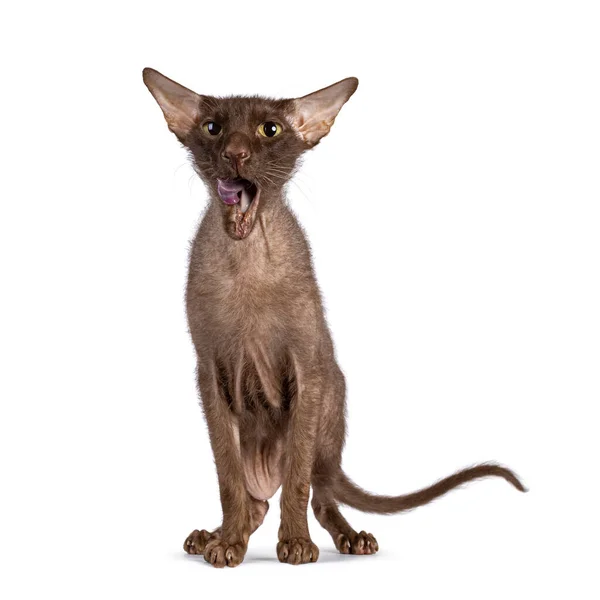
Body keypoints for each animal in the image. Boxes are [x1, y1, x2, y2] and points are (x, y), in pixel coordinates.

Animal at [142, 68, 524, 568]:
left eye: (270, 130)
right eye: (213, 129)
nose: (235, 154)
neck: (246, 262)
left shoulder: (308, 368)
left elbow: (298, 481)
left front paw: (296, 544)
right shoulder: (208, 370)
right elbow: (227, 476)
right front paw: (227, 544)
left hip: (332, 399)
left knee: (319, 491)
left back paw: (350, 538)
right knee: (256, 503)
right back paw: (215, 534)